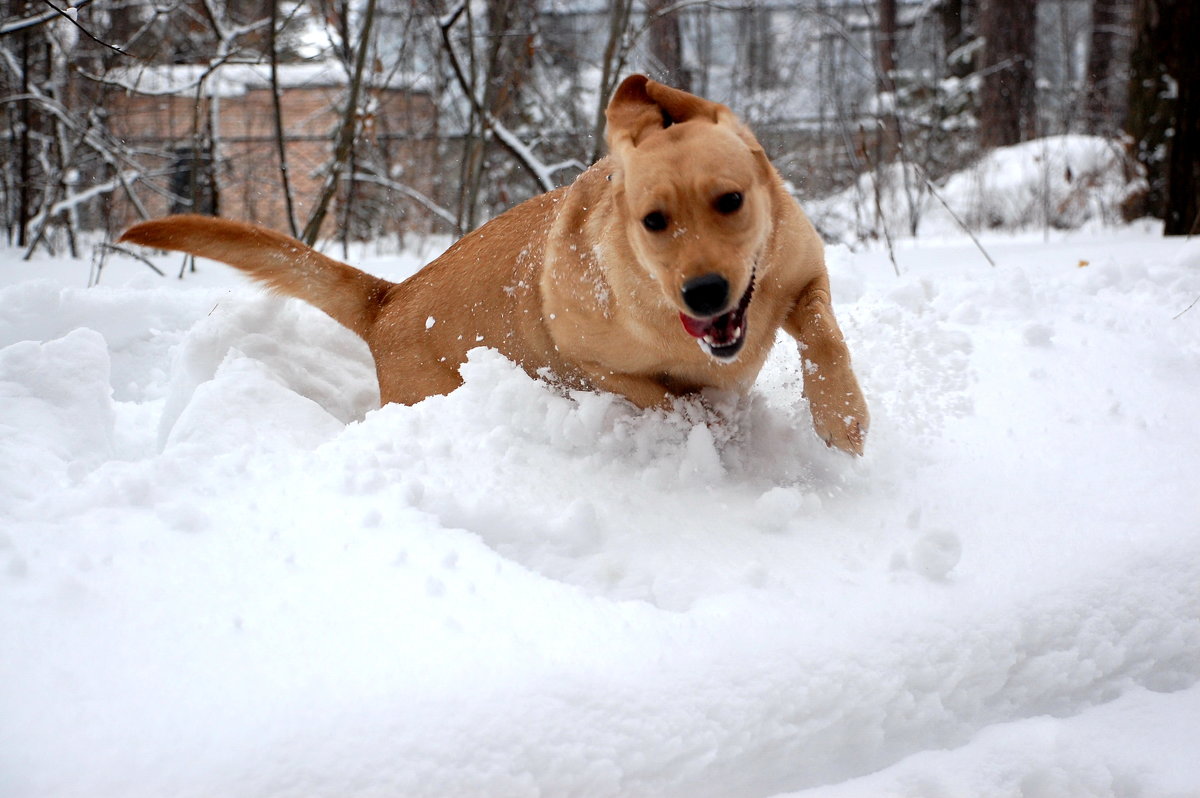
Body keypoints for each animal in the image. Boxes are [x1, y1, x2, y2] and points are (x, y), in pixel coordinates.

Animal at [121, 75, 868, 453]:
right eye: (653, 221)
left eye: (731, 200)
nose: (706, 292)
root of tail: (391, 299)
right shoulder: (587, 357)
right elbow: (668, 398)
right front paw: (718, 425)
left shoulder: (803, 275)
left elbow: (826, 338)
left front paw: (843, 418)